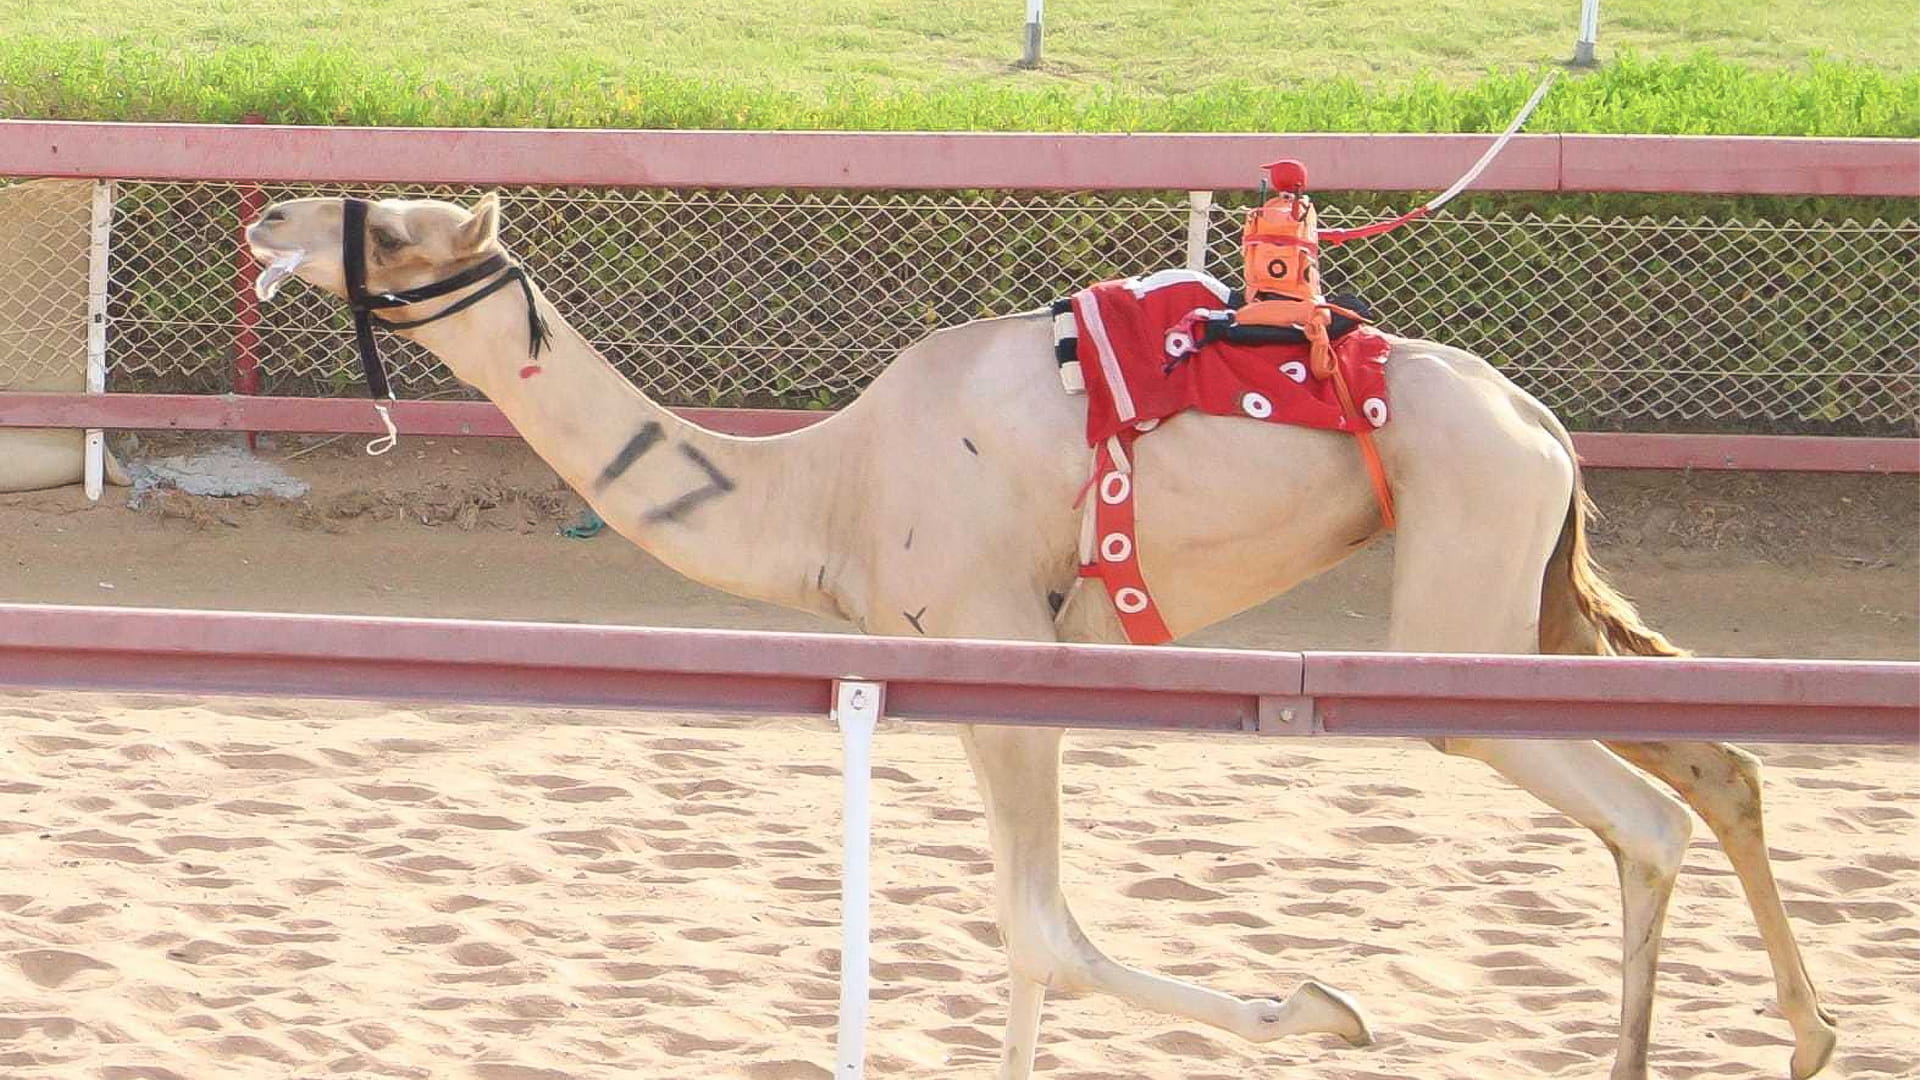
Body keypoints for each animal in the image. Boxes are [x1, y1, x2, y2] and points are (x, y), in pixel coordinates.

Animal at [244, 193, 1837, 1080]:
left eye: (393, 230)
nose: (265, 218)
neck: (830, 489)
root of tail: (1548, 427)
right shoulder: (959, 671)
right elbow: (1019, 938)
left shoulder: (1001, 646)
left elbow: (1042, 931)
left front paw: (1329, 1012)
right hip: (1531, 600)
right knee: (1722, 769)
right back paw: (1810, 1035)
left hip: (1461, 604)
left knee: (1643, 815)